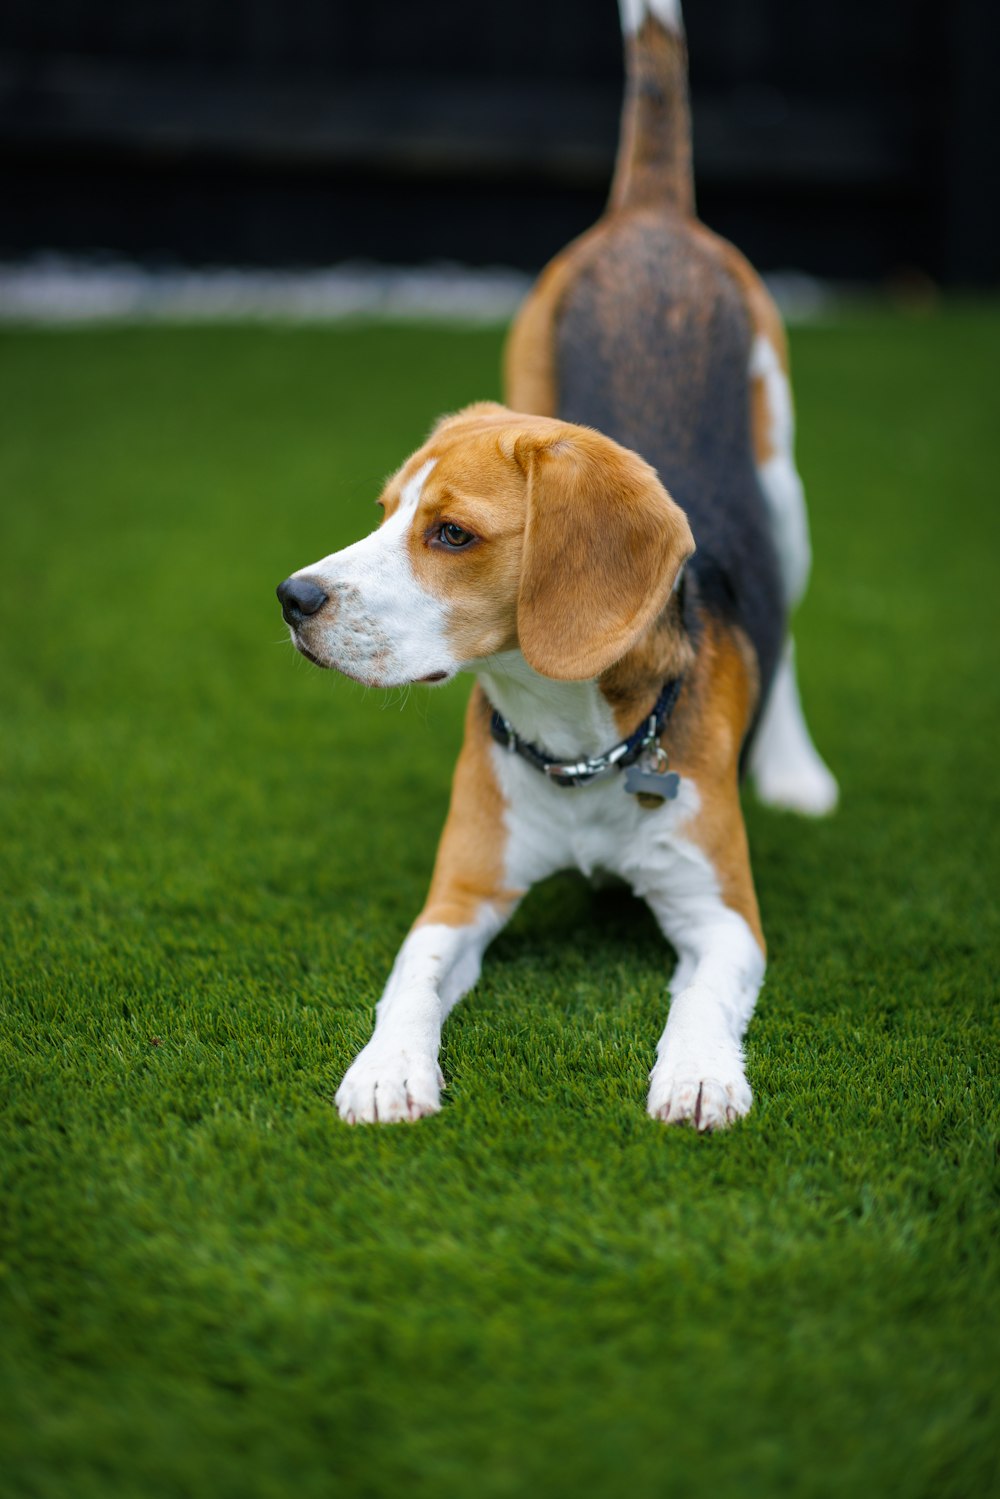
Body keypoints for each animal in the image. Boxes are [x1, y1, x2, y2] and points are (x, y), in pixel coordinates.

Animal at [274, 0, 839, 1127]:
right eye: (386, 512)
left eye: (451, 533)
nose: (292, 597)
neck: (577, 744)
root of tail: (650, 213)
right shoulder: (457, 892)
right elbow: (408, 977)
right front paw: (386, 1065)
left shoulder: (725, 913)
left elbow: (703, 995)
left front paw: (698, 1071)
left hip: (785, 480)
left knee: (788, 628)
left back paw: (794, 767)